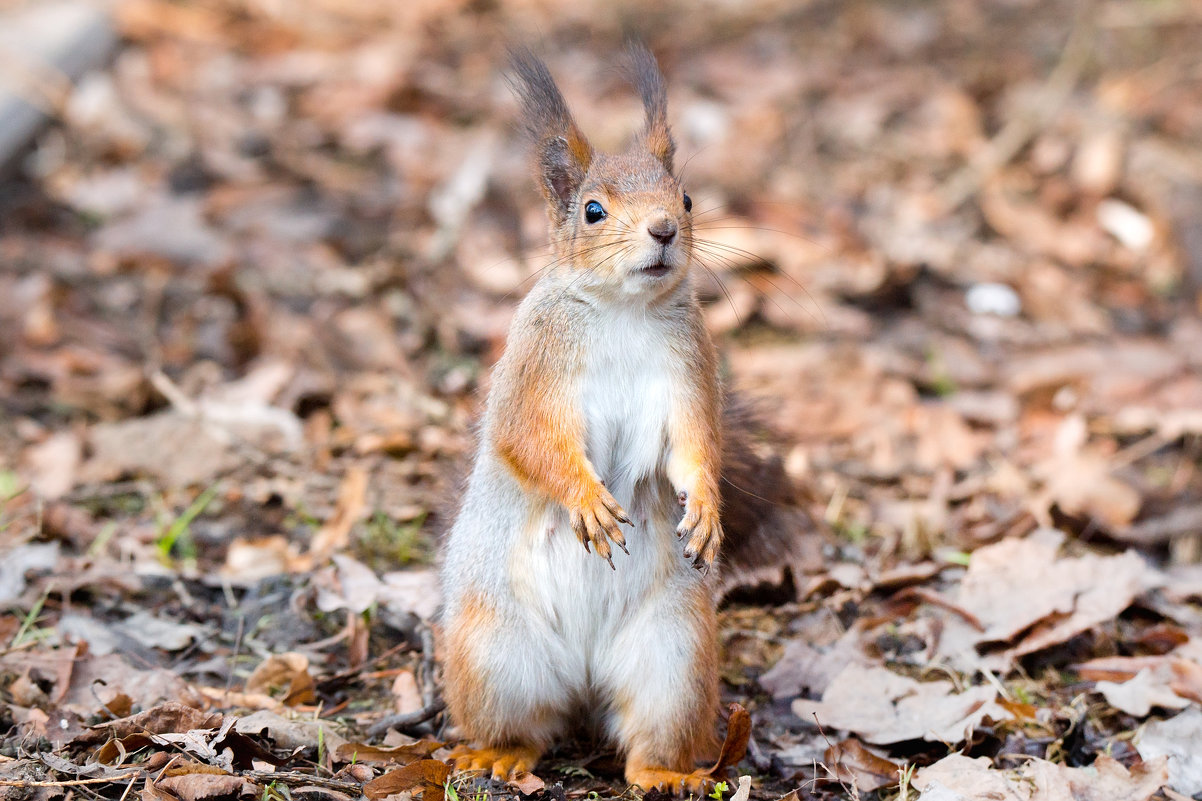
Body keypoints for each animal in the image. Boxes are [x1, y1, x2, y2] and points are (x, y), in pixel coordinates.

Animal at [437, 43, 802, 793]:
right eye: (592, 209)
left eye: (685, 198)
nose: (664, 230)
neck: (623, 312)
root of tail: (583, 683)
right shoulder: (534, 370)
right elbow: (528, 441)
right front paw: (588, 502)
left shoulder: (689, 372)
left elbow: (695, 446)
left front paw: (708, 508)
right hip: (494, 654)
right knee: (524, 727)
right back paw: (496, 755)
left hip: (674, 659)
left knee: (645, 737)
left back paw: (666, 773)